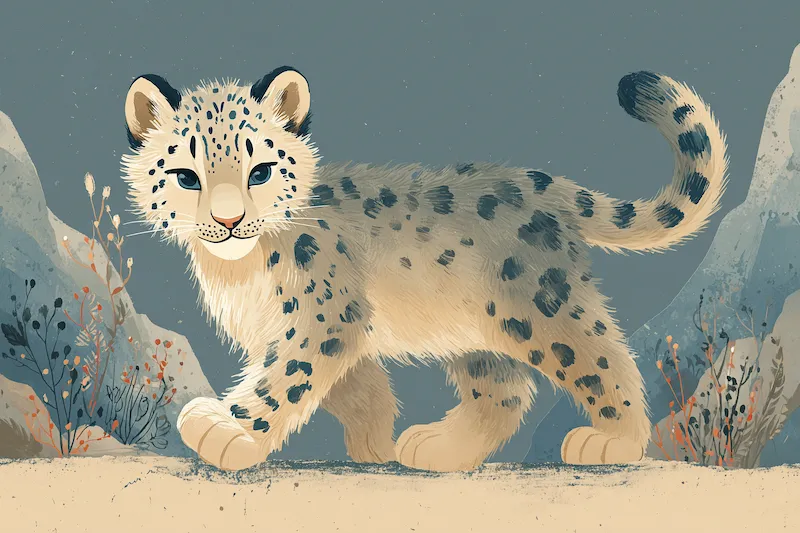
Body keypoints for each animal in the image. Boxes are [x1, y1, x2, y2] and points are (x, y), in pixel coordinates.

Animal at [121, 66, 728, 472]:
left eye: (261, 169)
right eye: (186, 176)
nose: (228, 220)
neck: (237, 272)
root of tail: (543, 184)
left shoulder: (324, 315)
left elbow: (287, 379)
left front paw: (228, 431)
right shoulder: (315, 326)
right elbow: (356, 387)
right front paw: (375, 447)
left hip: (540, 308)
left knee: (603, 359)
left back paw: (612, 442)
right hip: (477, 332)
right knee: (505, 391)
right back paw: (439, 448)